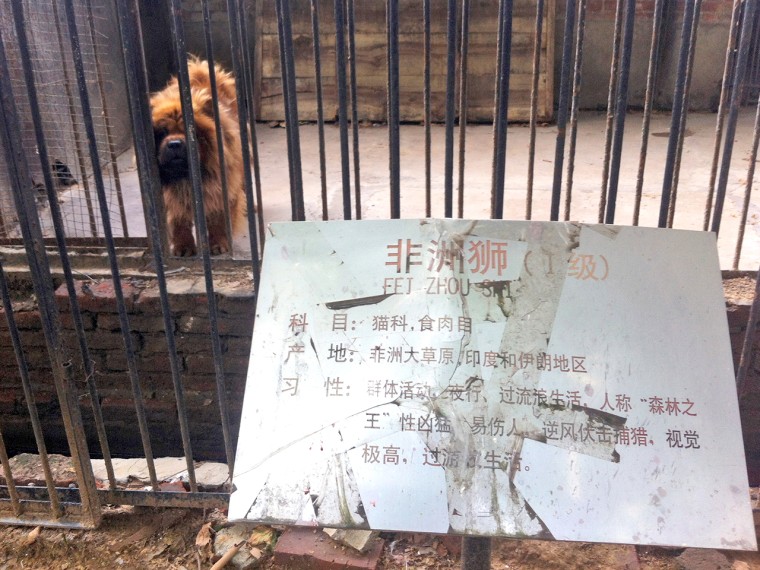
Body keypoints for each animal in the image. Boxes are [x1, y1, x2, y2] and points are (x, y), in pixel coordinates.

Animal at [153, 58, 248, 255]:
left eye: (191, 132)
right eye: (162, 132)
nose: (174, 143)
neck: (186, 178)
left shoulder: (221, 189)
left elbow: (218, 219)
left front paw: (218, 244)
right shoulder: (170, 198)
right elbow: (178, 221)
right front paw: (183, 247)